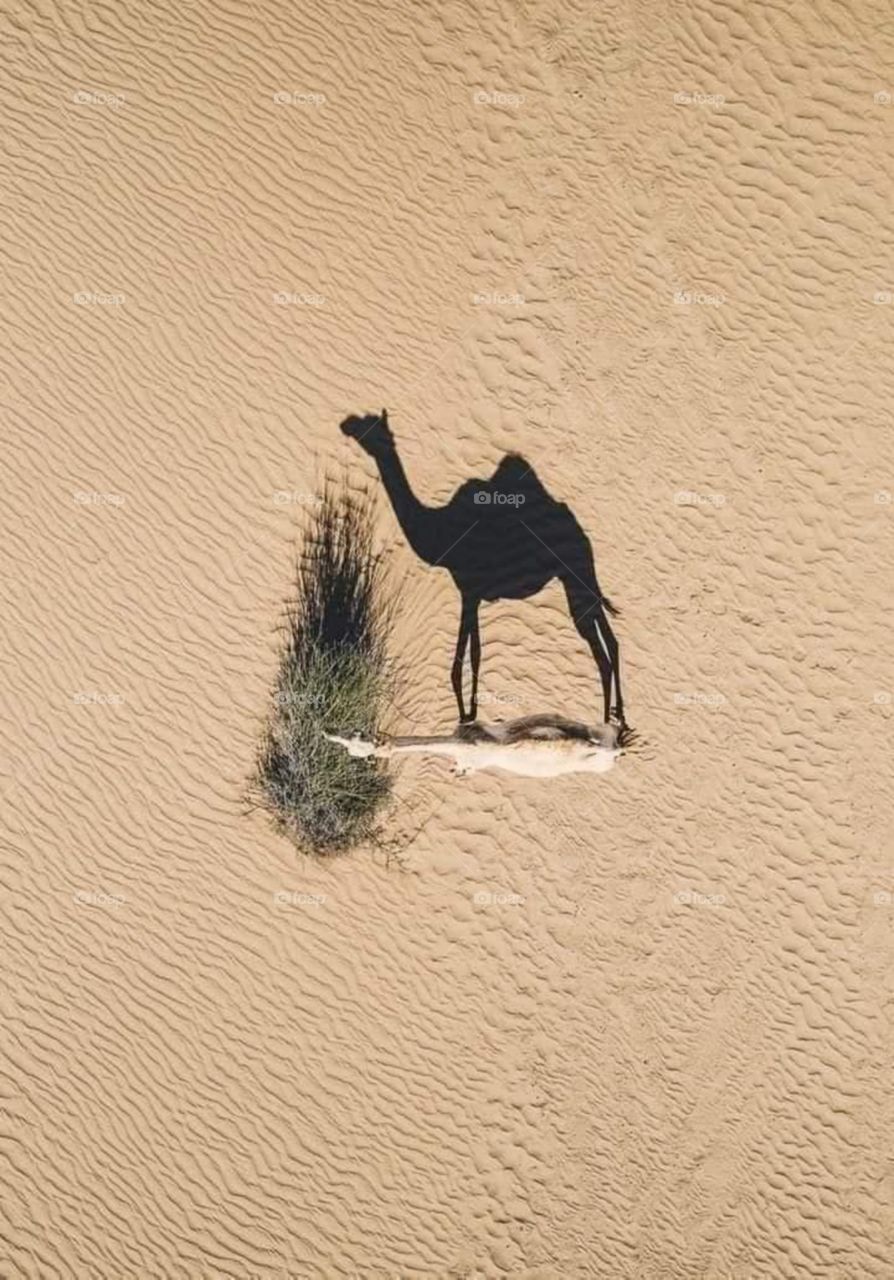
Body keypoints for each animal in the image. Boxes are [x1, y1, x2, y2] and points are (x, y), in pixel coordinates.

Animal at [340, 409, 626, 727]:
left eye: (370, 426)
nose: (346, 424)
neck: (441, 530)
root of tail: (581, 535)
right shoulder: (471, 593)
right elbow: (475, 652)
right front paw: (471, 713)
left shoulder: (468, 589)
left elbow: (466, 656)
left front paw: (466, 716)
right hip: (578, 576)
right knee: (609, 639)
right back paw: (618, 716)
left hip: (575, 574)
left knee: (599, 646)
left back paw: (605, 721)